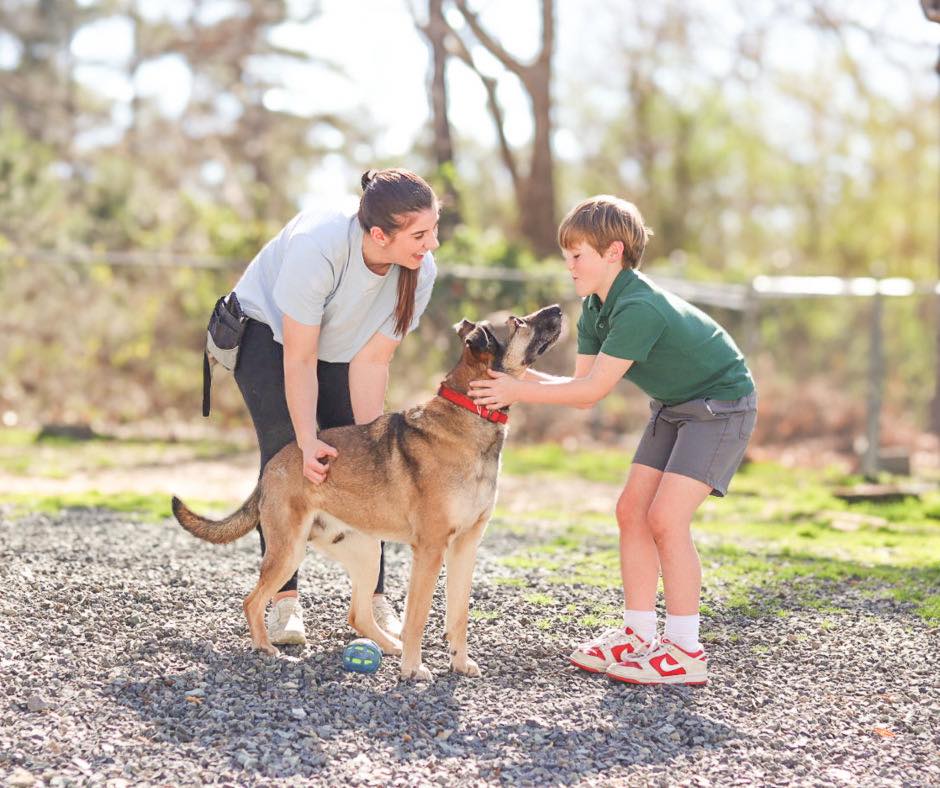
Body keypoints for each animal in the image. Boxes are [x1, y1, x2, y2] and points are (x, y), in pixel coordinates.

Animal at [172, 304, 563, 680]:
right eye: (517, 322)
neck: (470, 413)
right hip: (289, 551)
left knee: (357, 613)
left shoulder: (465, 547)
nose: (559, 309)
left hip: (367, 552)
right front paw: (413, 670)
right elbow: (418, 618)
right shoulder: (431, 550)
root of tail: (270, 468)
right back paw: (266, 647)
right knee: (252, 601)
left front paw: (459, 663)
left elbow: (458, 616)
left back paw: (388, 646)